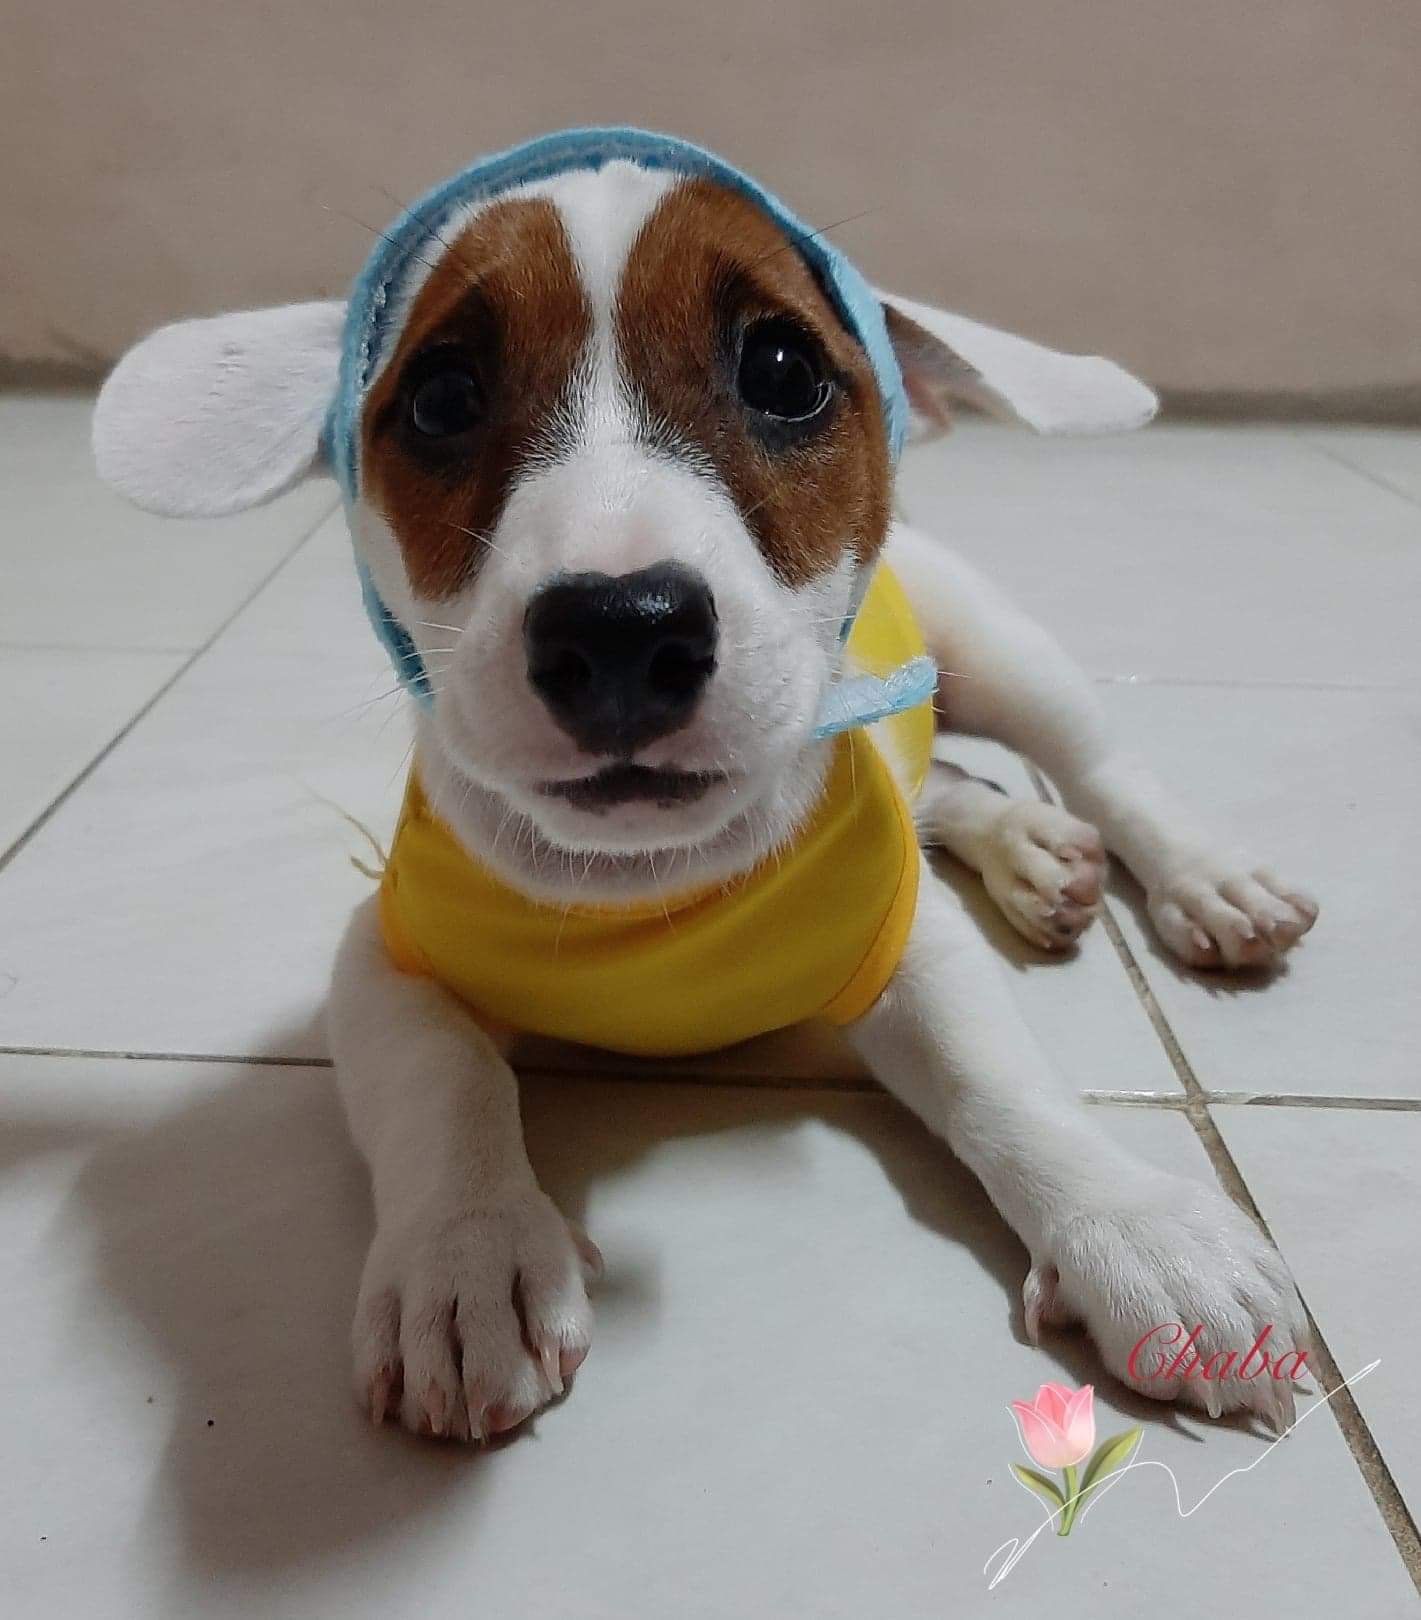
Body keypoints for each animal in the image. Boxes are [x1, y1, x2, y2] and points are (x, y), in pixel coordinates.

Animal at [93, 129, 1318, 1445]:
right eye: (441, 398)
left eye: (782, 371)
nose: (621, 629)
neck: (646, 878)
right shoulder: (385, 956)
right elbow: (441, 1078)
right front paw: (465, 1251)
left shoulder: (903, 937)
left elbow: (999, 1075)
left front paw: (1133, 1227)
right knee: (945, 782)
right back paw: (1033, 849)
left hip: (993, 643)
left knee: (1097, 762)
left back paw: (1202, 879)